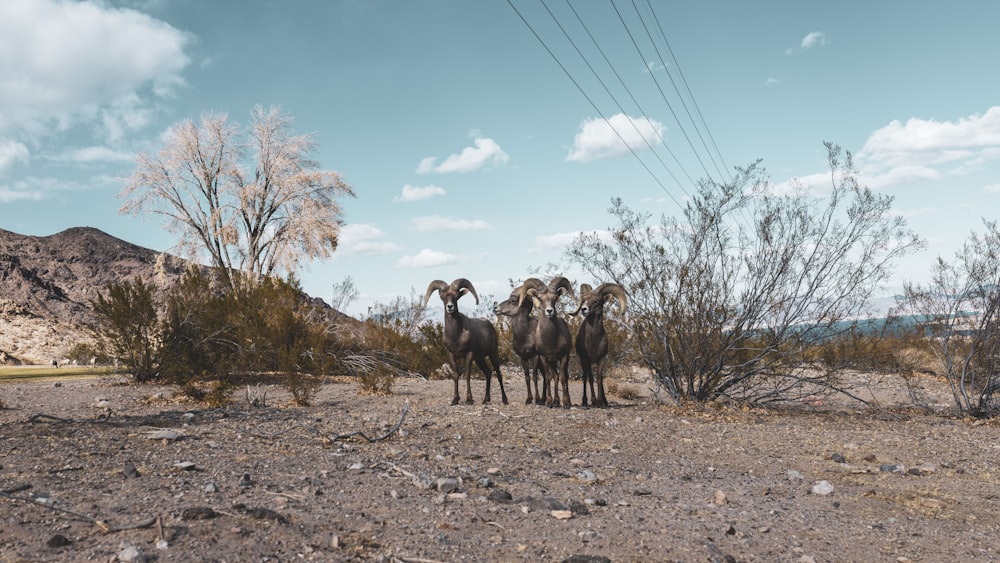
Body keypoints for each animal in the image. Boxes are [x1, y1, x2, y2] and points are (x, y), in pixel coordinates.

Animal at [422, 280, 508, 408]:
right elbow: (456, 375)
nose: (450, 307)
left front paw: (469, 400)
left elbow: (467, 375)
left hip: (493, 354)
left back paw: (505, 400)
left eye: (456, 296)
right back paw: (485, 400)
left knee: (498, 374)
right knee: (488, 373)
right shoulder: (452, 355)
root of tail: (490, 325)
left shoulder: (469, 354)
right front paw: (455, 400)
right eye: (443, 297)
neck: (456, 335)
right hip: (480, 359)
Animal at [492, 278, 548, 406]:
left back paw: (543, 400)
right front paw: (529, 399)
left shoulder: (535, 356)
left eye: (513, 301)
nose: (496, 308)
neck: (525, 335)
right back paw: (544, 400)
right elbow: (527, 377)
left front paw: (537, 399)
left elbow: (534, 377)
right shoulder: (522, 358)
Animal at [520, 276, 576, 406]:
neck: (551, 340)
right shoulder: (544, 357)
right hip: (552, 362)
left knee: (563, 376)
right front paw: (549, 402)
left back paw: (565, 401)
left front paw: (566, 403)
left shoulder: (564, 356)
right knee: (554, 376)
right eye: (540, 299)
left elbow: (563, 378)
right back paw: (555, 401)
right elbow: (548, 378)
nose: (549, 311)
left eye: (555, 298)